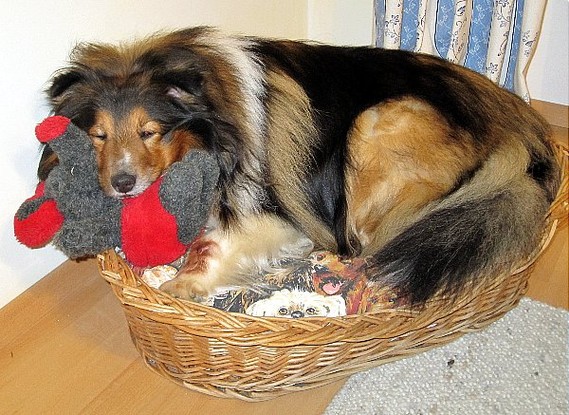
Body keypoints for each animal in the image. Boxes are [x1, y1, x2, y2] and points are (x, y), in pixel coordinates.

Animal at [39, 27, 560, 305]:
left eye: (150, 131)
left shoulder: (281, 215)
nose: (122, 184)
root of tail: (516, 131)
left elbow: (213, 243)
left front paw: (182, 284)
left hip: (376, 123)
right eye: (99, 135)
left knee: (368, 241)